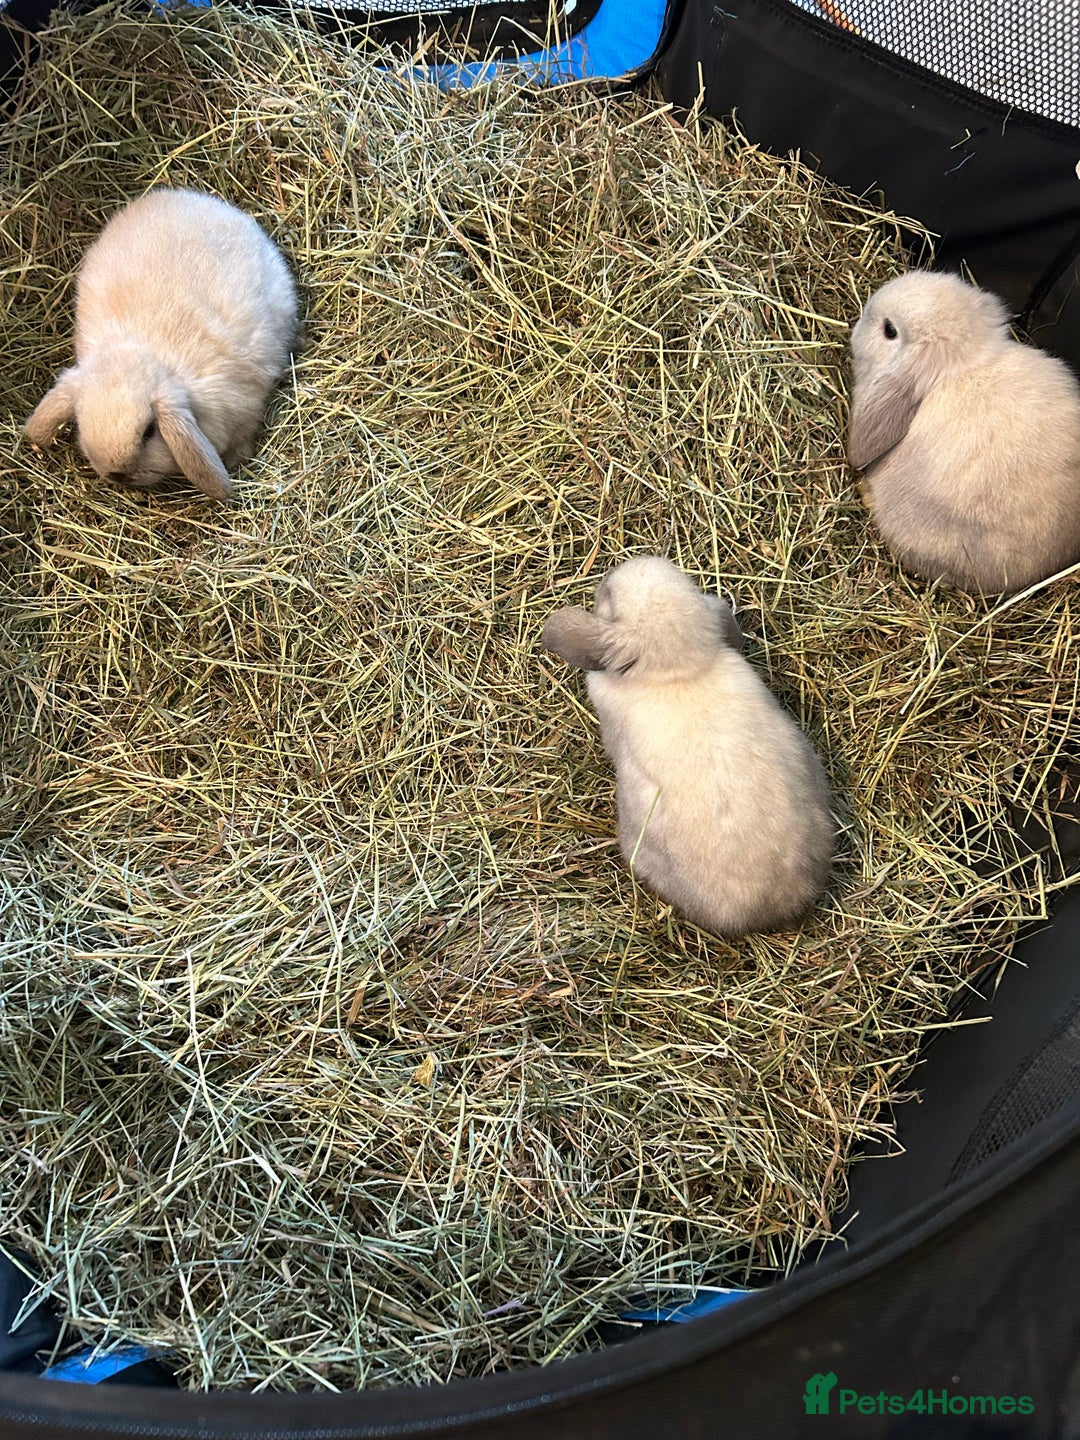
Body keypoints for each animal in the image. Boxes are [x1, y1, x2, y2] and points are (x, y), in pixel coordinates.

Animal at [24, 188, 299, 502]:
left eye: (148, 432)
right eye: (80, 422)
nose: (118, 474)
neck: (144, 349)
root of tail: (184, 195)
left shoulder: (245, 409)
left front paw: (237, 461)